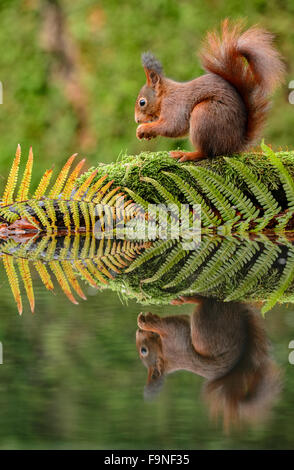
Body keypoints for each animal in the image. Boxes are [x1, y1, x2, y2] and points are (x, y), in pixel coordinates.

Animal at [135, 19, 284, 162]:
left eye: (142, 102)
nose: (137, 120)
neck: (164, 96)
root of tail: (235, 144)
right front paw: (148, 134)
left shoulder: (174, 104)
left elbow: (172, 126)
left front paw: (143, 129)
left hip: (204, 114)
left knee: (206, 152)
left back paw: (187, 154)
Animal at [137, 296, 282, 432]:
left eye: (144, 350)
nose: (138, 332)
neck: (165, 356)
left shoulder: (173, 339)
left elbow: (165, 325)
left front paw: (146, 322)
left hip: (203, 324)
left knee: (206, 303)